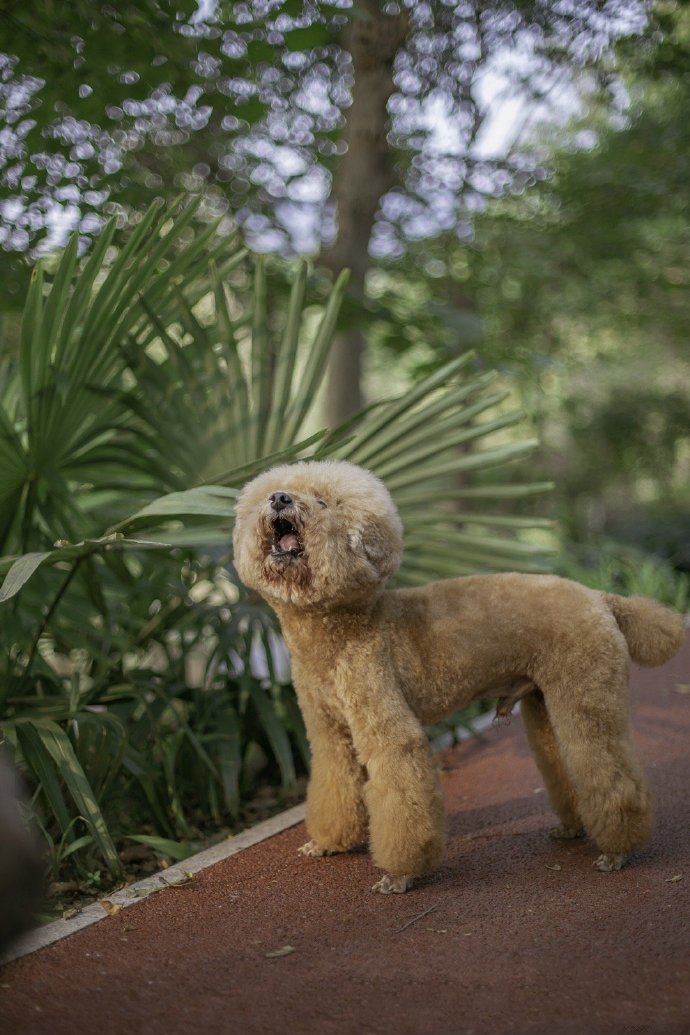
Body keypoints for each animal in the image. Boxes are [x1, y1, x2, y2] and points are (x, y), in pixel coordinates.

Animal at [233, 461, 686, 890]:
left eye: (323, 503)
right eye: (279, 491)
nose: (279, 498)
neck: (341, 627)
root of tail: (600, 597)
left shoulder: (390, 729)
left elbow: (402, 791)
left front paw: (401, 874)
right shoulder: (329, 735)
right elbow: (335, 786)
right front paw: (329, 843)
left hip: (587, 692)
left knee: (610, 770)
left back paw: (619, 850)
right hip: (546, 701)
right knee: (565, 763)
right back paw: (574, 828)